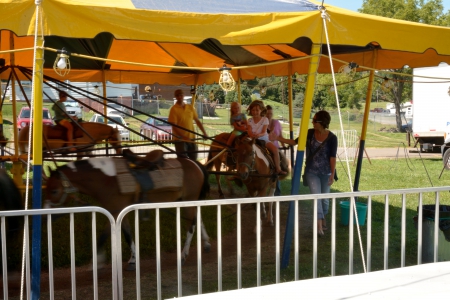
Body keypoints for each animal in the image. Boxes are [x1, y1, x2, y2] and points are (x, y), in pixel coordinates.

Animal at [44, 156, 211, 268]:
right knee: (198, 218)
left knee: (191, 225)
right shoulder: (119, 212)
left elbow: (103, 236)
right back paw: (207, 243)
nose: (44, 212)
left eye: (54, 191)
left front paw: (97, 261)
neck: (107, 178)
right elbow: (127, 234)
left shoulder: (115, 211)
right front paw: (133, 259)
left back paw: (183, 255)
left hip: (189, 200)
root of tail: (195, 163)